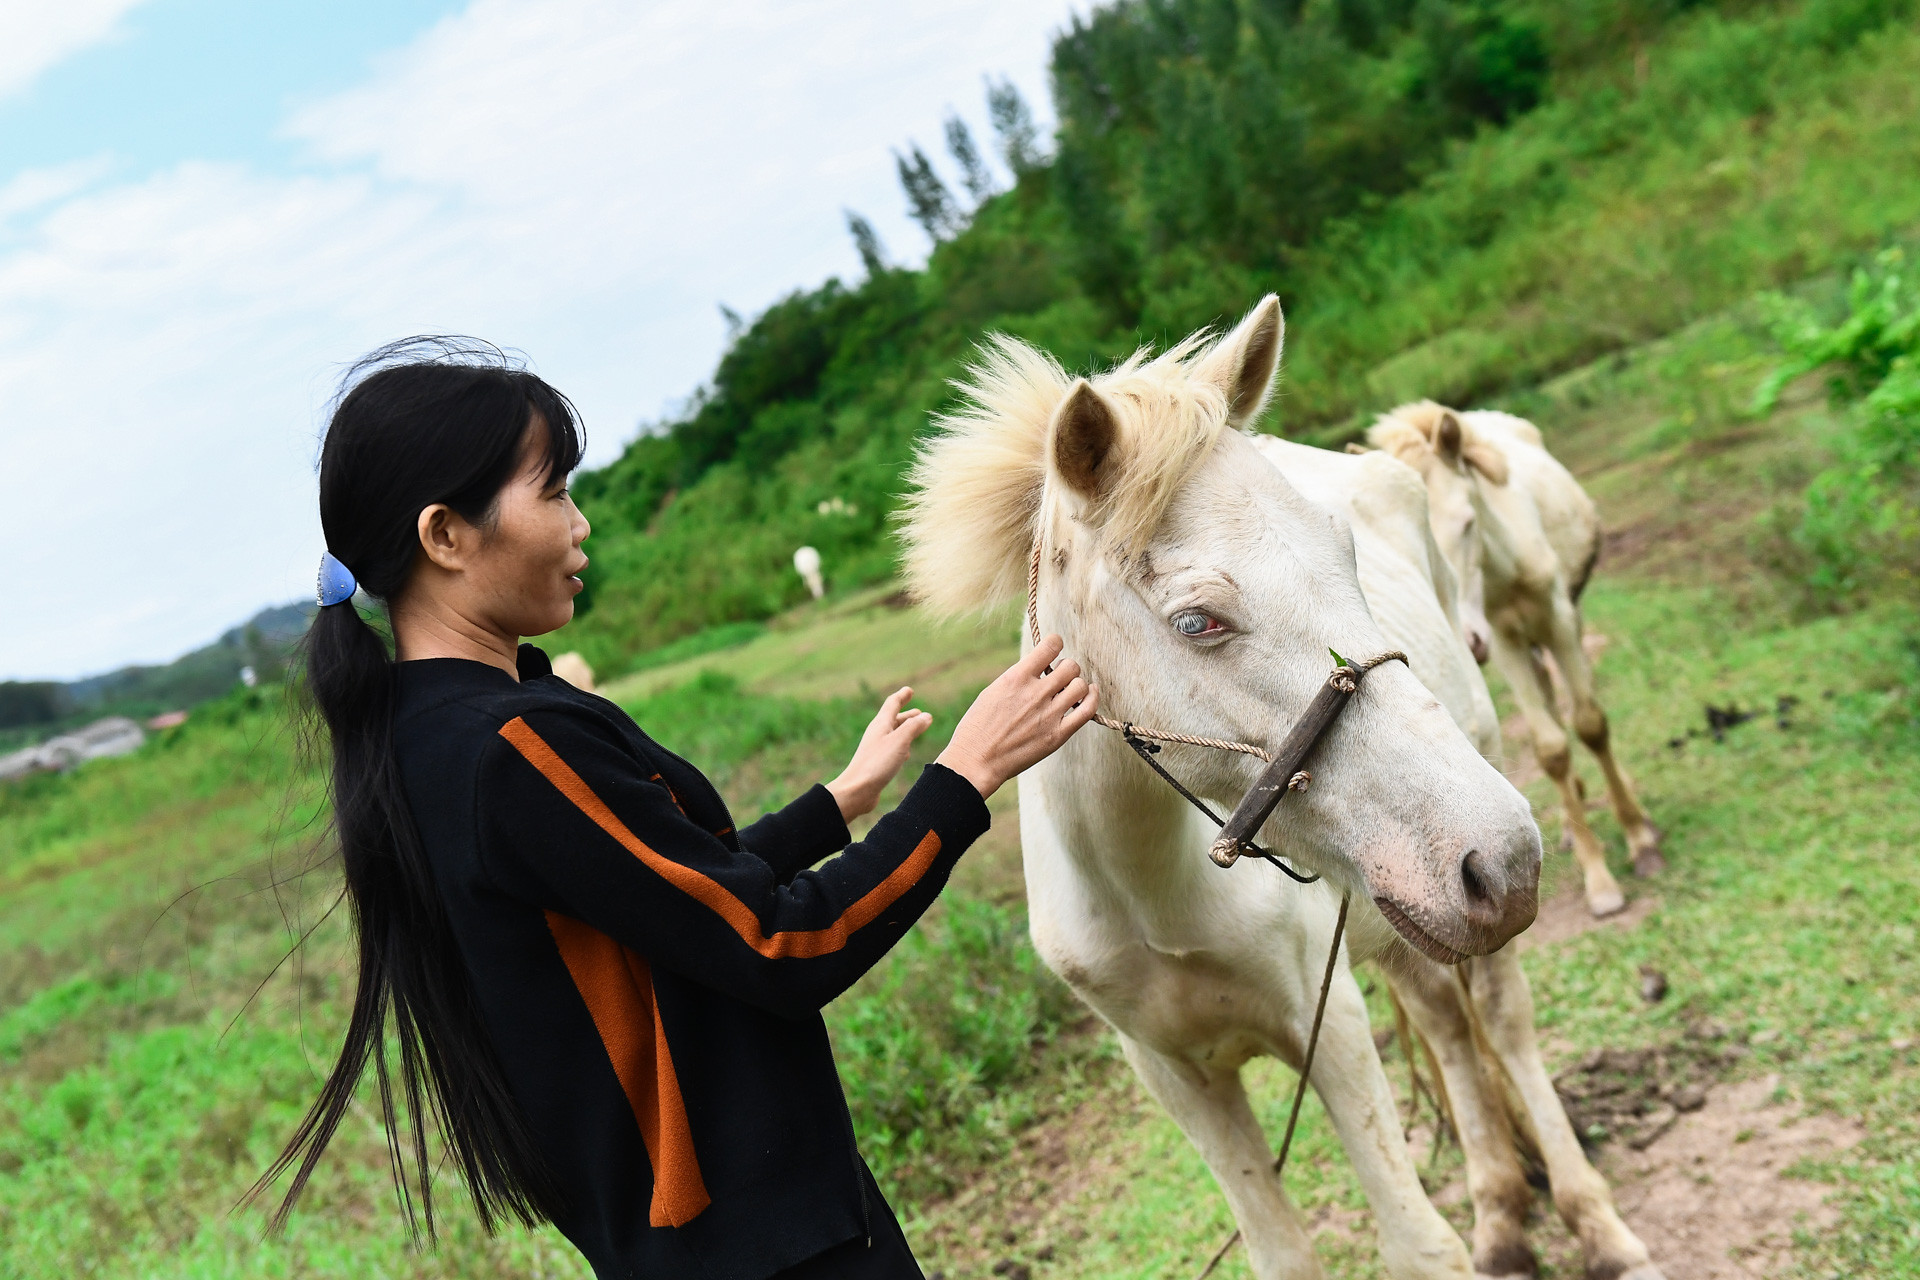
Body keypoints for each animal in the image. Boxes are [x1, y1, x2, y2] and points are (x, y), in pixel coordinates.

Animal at [898, 297, 1543, 1274]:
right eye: (1198, 621)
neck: (1151, 897)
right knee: (1446, 1025)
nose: (1501, 860)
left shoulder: (1330, 1028)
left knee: (1501, 1022)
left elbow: (1418, 1244)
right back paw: (1506, 1208)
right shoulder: (1177, 1078)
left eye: (1345, 553)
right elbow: (1281, 1252)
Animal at [1367, 404, 1666, 917]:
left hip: (1568, 616)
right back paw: (1570, 823)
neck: (1503, 570)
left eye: (1468, 522)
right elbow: (1551, 748)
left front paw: (1639, 841)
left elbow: (1591, 724)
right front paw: (1598, 877)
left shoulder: (1558, 618)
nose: (1469, 639)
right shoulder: (1504, 642)